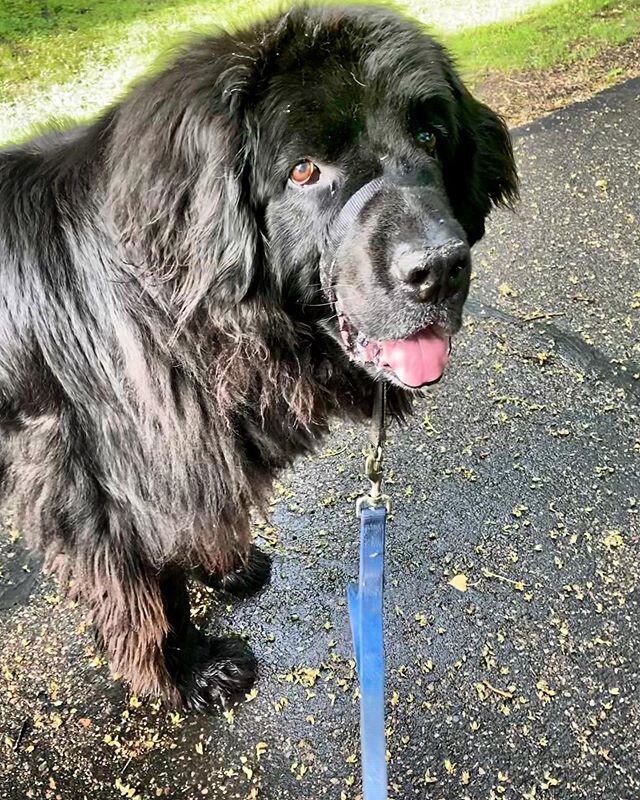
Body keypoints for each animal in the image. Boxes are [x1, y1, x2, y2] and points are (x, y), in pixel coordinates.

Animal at [0, 4, 516, 708]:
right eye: (302, 170)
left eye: (430, 136)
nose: (439, 268)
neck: (176, 305)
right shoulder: (114, 486)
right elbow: (154, 589)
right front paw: (190, 670)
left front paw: (224, 568)